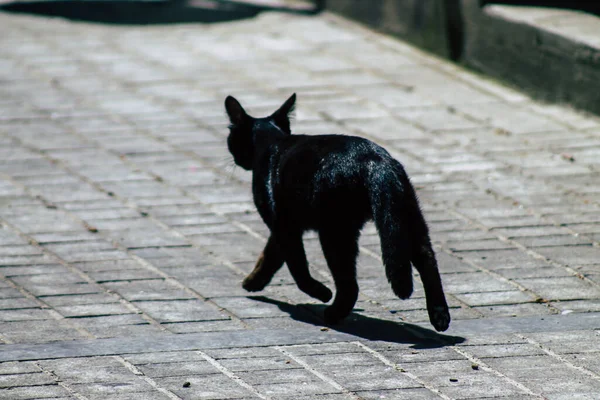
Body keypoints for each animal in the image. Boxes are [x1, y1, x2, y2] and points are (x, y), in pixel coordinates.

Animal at [225, 93, 450, 332]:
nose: (236, 159)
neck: (272, 142)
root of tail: (377, 161)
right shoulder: (284, 227)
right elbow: (271, 255)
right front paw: (253, 281)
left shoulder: (283, 225)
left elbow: (296, 266)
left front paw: (319, 292)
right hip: (407, 217)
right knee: (427, 258)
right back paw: (440, 316)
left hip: (335, 232)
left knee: (349, 284)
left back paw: (332, 312)